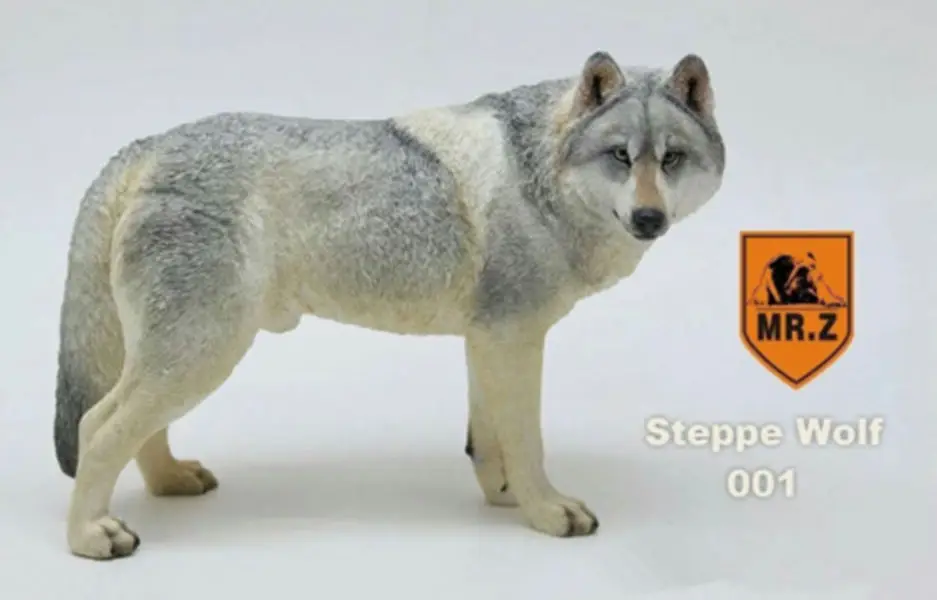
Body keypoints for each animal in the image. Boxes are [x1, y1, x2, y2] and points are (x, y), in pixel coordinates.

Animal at [53, 51, 726, 559]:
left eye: (670, 159)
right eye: (620, 156)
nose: (649, 218)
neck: (539, 176)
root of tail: (146, 147)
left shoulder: (489, 340)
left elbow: (489, 442)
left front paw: (505, 498)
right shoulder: (514, 339)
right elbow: (527, 440)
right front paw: (545, 511)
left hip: (182, 358)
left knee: (137, 430)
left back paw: (171, 482)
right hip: (201, 354)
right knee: (97, 427)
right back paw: (90, 536)